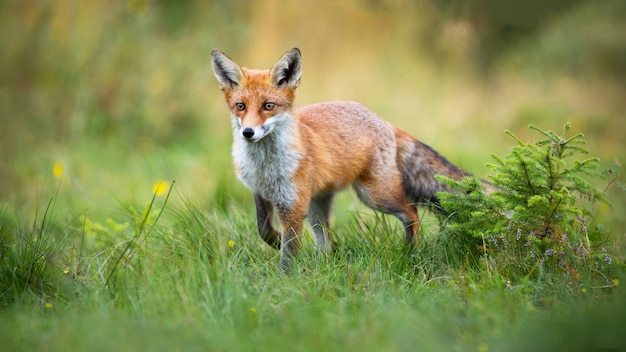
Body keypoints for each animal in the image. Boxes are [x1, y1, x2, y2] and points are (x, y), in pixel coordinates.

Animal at [210, 48, 468, 270]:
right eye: (240, 106)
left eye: (268, 106)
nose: (248, 132)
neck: (265, 166)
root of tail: (384, 121)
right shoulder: (262, 193)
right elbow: (264, 230)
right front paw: (276, 242)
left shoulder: (293, 204)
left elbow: (289, 253)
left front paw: (285, 279)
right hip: (317, 206)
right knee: (326, 241)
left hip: (374, 195)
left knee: (412, 213)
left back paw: (409, 253)